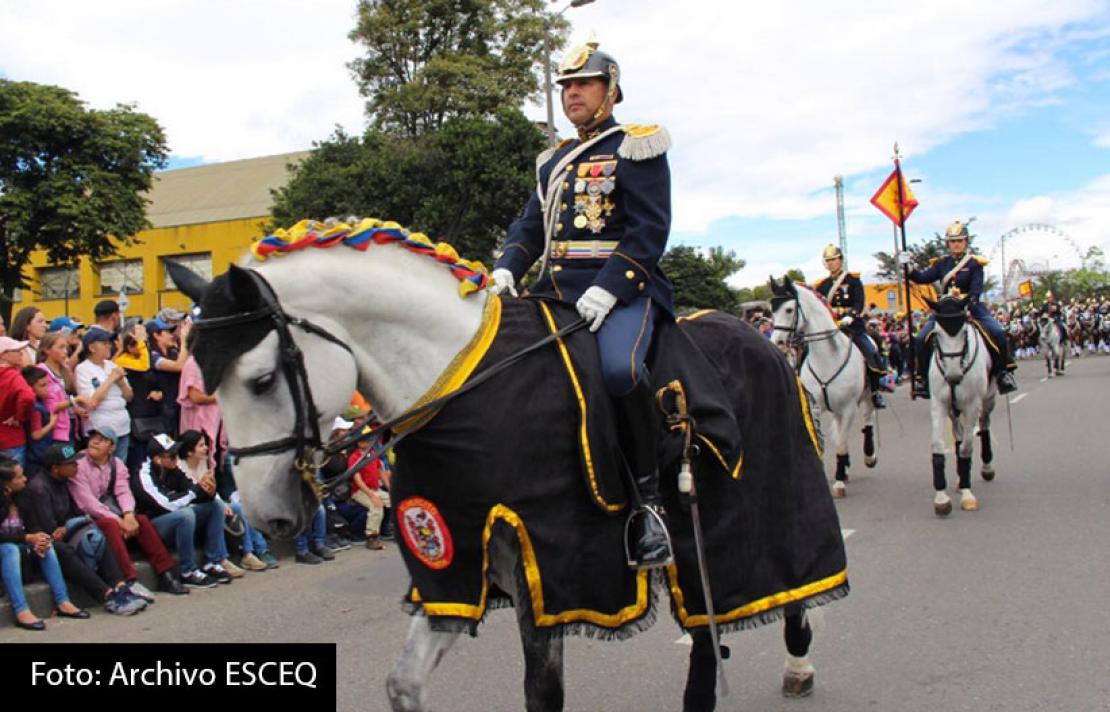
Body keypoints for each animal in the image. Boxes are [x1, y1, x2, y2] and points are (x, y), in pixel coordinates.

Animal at [167, 219, 847, 712]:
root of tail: (760, 339)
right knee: (708, 631)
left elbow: (542, 693)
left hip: (761, 499)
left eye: (260, 381)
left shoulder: (549, 561)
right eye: (205, 385)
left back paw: (800, 661)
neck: (465, 392)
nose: (270, 518)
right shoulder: (453, 558)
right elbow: (403, 684)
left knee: (782, 583)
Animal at [769, 275, 876, 499]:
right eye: (771, 310)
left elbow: (842, 444)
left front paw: (839, 483)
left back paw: (868, 457)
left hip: (868, 395)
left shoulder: (848, 408)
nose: (777, 343)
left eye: (789, 309)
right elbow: (821, 440)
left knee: (868, 419)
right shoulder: (814, 405)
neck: (828, 356)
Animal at [924, 295, 997, 517]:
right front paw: (941, 498)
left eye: (963, 332)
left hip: (988, 399)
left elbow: (966, 447)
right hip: (952, 408)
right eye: (937, 334)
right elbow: (939, 445)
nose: (953, 376)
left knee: (984, 425)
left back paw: (986, 468)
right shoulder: (939, 403)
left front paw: (967, 494)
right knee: (958, 432)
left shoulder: (972, 404)